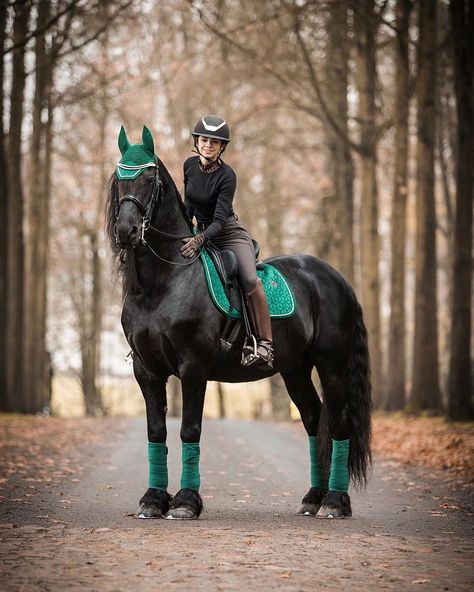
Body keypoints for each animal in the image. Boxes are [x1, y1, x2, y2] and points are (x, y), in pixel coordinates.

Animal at [105, 127, 372, 520]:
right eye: (119, 177)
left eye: (150, 179)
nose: (126, 231)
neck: (163, 282)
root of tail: (337, 279)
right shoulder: (147, 370)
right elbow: (156, 432)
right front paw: (153, 500)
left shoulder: (193, 367)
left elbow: (189, 430)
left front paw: (185, 501)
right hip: (294, 368)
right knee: (313, 419)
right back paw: (313, 498)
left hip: (332, 365)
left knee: (337, 422)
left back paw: (335, 503)